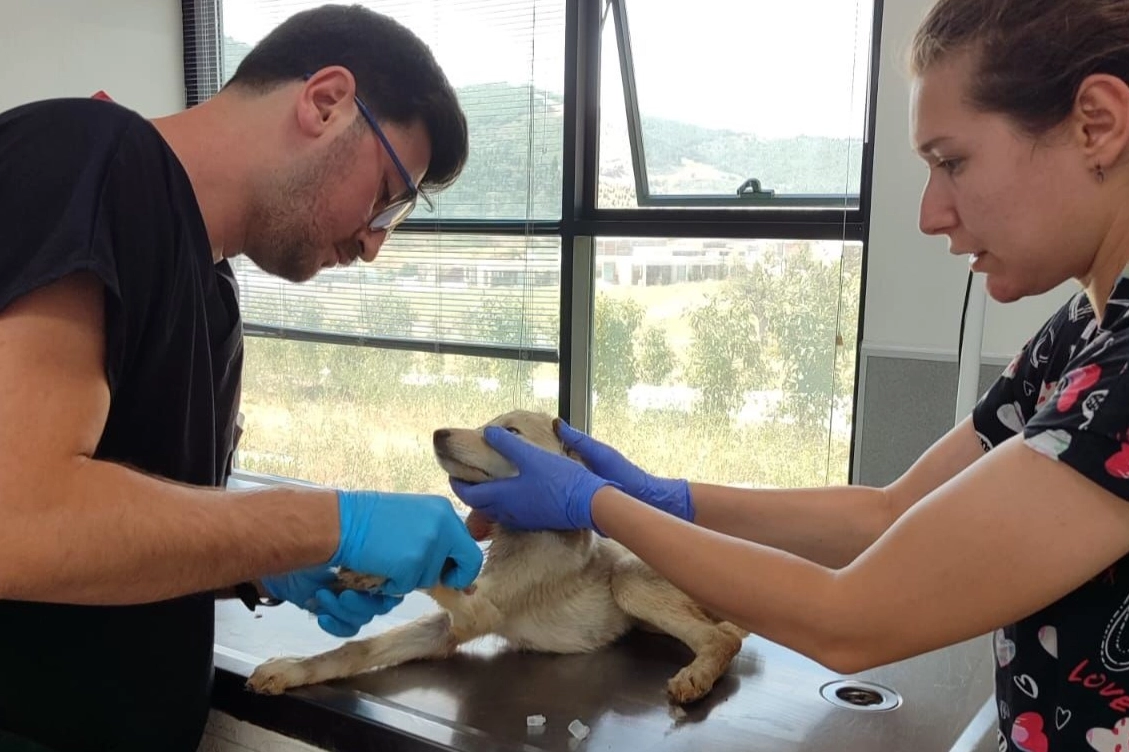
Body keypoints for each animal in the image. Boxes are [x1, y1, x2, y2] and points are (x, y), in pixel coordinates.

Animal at [244, 406, 749, 700]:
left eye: (507, 432)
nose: (437, 432)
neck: (523, 532)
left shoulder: (477, 613)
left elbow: (440, 567)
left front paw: (377, 566)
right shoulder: (443, 631)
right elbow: (358, 648)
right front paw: (292, 669)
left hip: (629, 579)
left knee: (725, 637)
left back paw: (697, 675)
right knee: (723, 630)